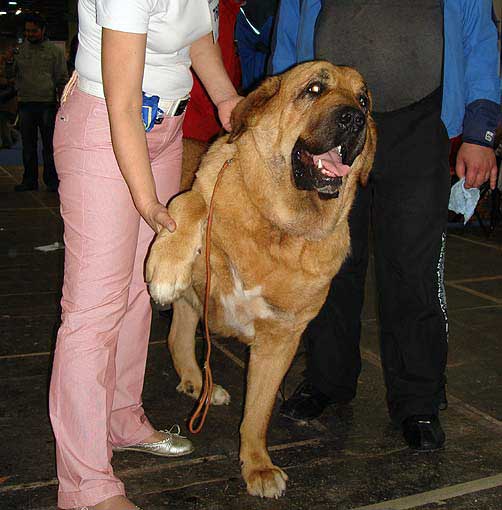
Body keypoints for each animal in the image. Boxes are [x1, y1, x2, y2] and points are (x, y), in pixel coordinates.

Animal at [147, 60, 374, 498]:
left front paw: (258, 466)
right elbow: (189, 203)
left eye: (364, 99)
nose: (355, 118)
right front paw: (166, 266)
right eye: (314, 89)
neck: (279, 229)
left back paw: (196, 383)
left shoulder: (280, 340)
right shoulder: (203, 203)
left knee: (178, 337)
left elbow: (257, 412)